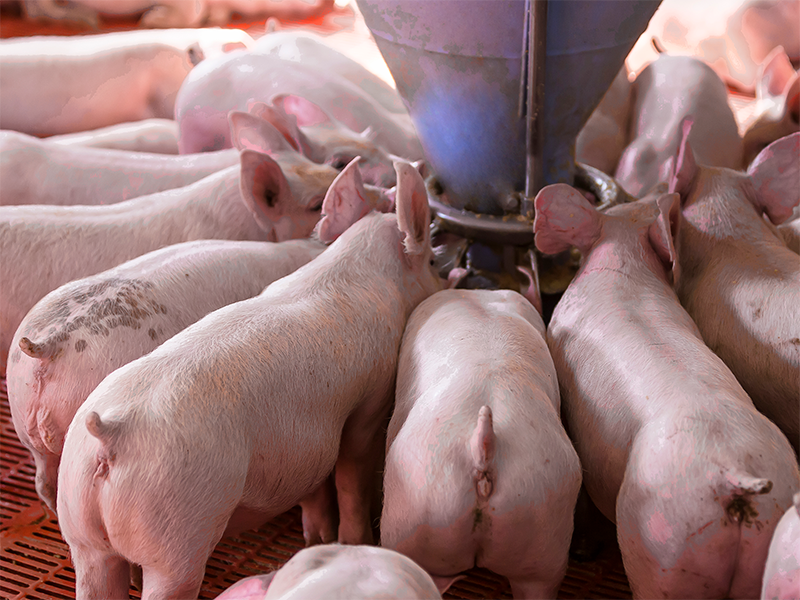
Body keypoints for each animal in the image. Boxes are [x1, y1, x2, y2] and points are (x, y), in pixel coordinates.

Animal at [56, 159, 443, 600]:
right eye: (433, 263)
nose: (448, 279)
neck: (363, 271)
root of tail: (110, 434)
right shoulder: (370, 398)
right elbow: (351, 472)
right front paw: (352, 541)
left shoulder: (305, 444)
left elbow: (313, 484)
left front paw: (318, 538)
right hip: (175, 533)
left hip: (81, 531)